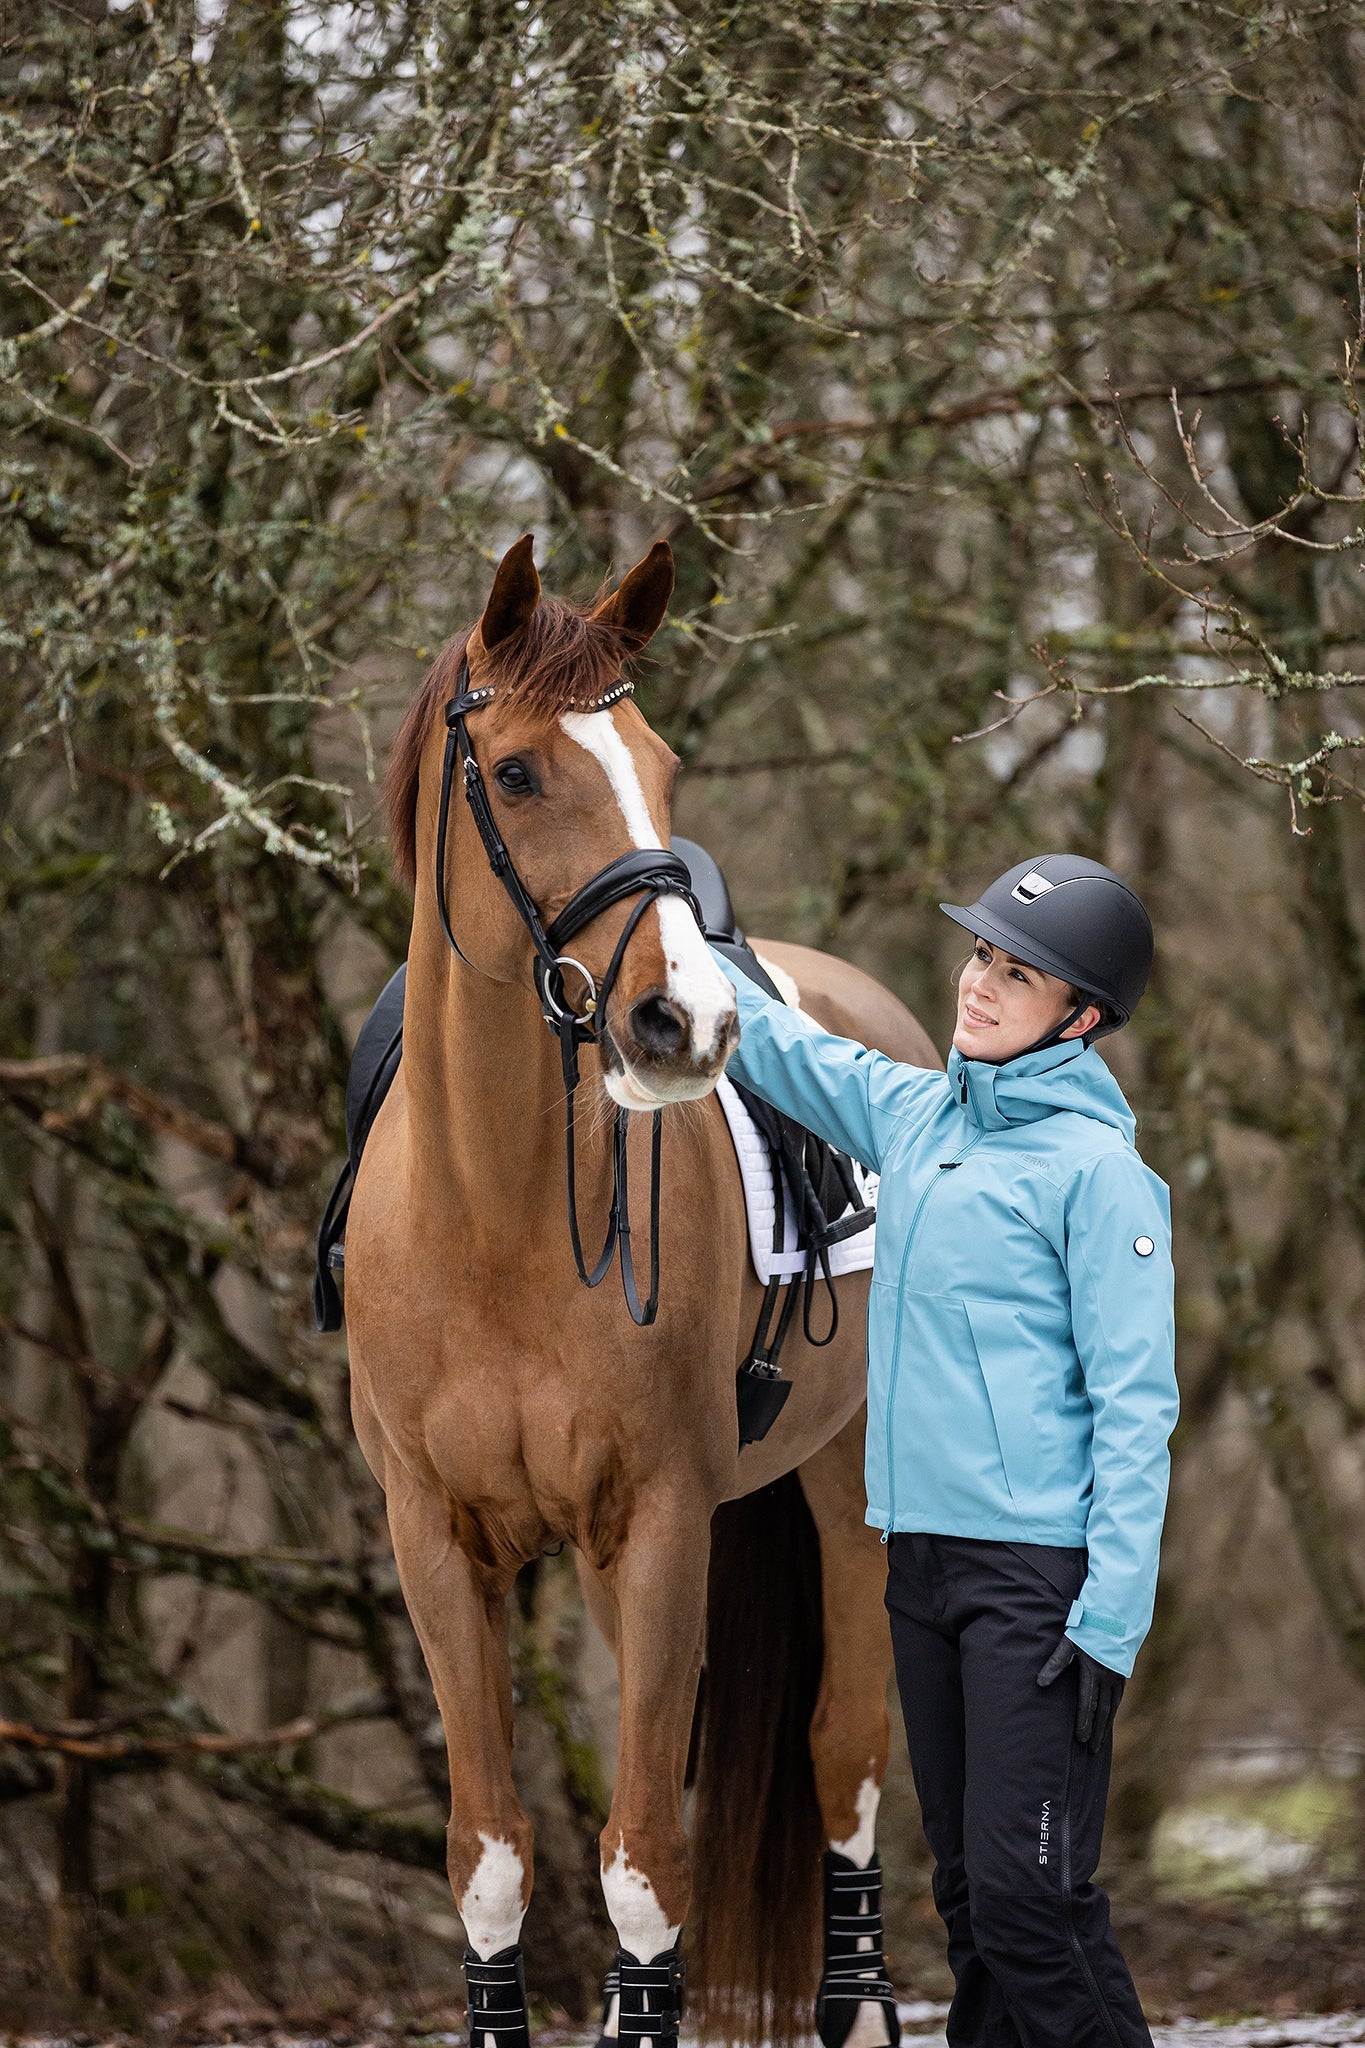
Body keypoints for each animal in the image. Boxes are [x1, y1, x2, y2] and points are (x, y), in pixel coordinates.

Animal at [343, 536, 941, 2039]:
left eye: (660, 764)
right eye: (514, 773)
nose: (688, 1023)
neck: (491, 1219)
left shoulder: (665, 1520)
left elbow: (647, 1869)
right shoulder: (438, 1539)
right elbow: (493, 1860)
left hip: (839, 1491)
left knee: (843, 1758)